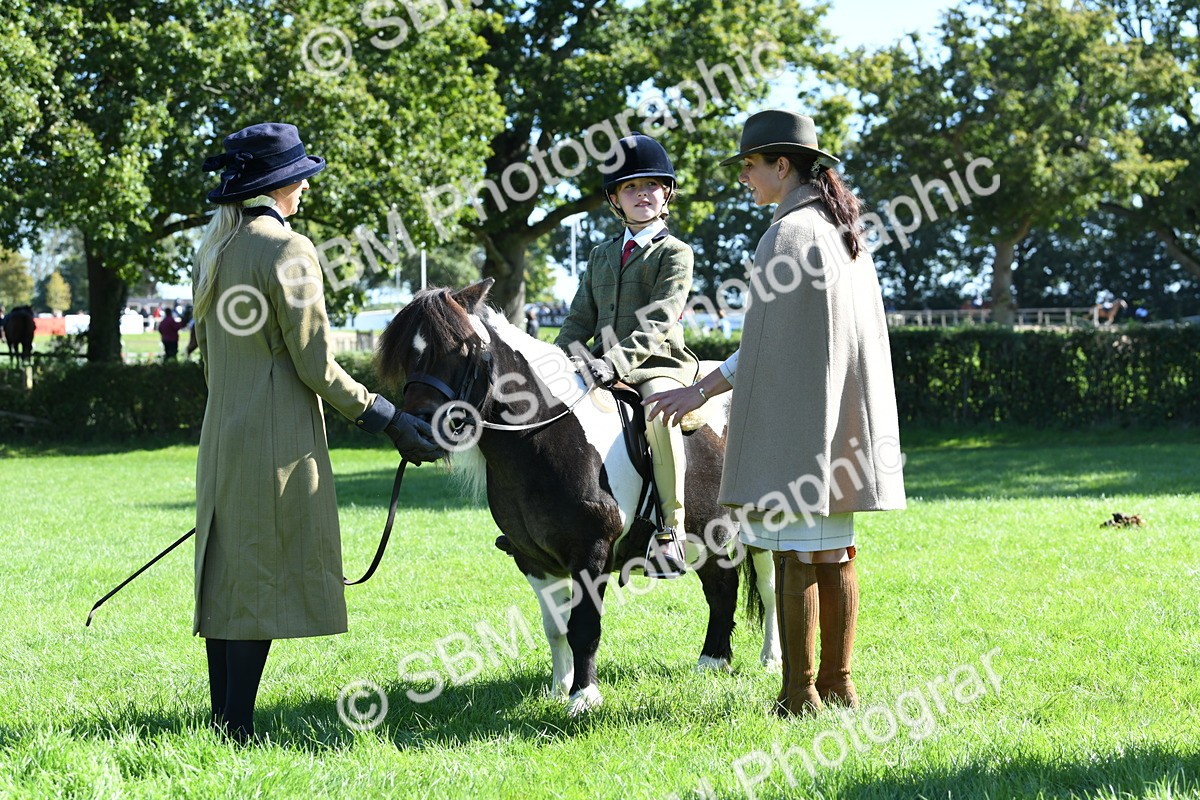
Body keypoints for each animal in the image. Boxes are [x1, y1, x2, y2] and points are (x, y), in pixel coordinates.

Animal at [377, 279, 779, 715]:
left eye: (459, 349)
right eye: (407, 356)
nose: (415, 431)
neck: (543, 437)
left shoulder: (592, 552)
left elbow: (584, 626)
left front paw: (583, 697)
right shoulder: (532, 558)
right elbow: (555, 627)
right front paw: (558, 688)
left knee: (769, 587)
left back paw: (768, 659)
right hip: (708, 536)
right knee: (722, 588)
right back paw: (713, 661)